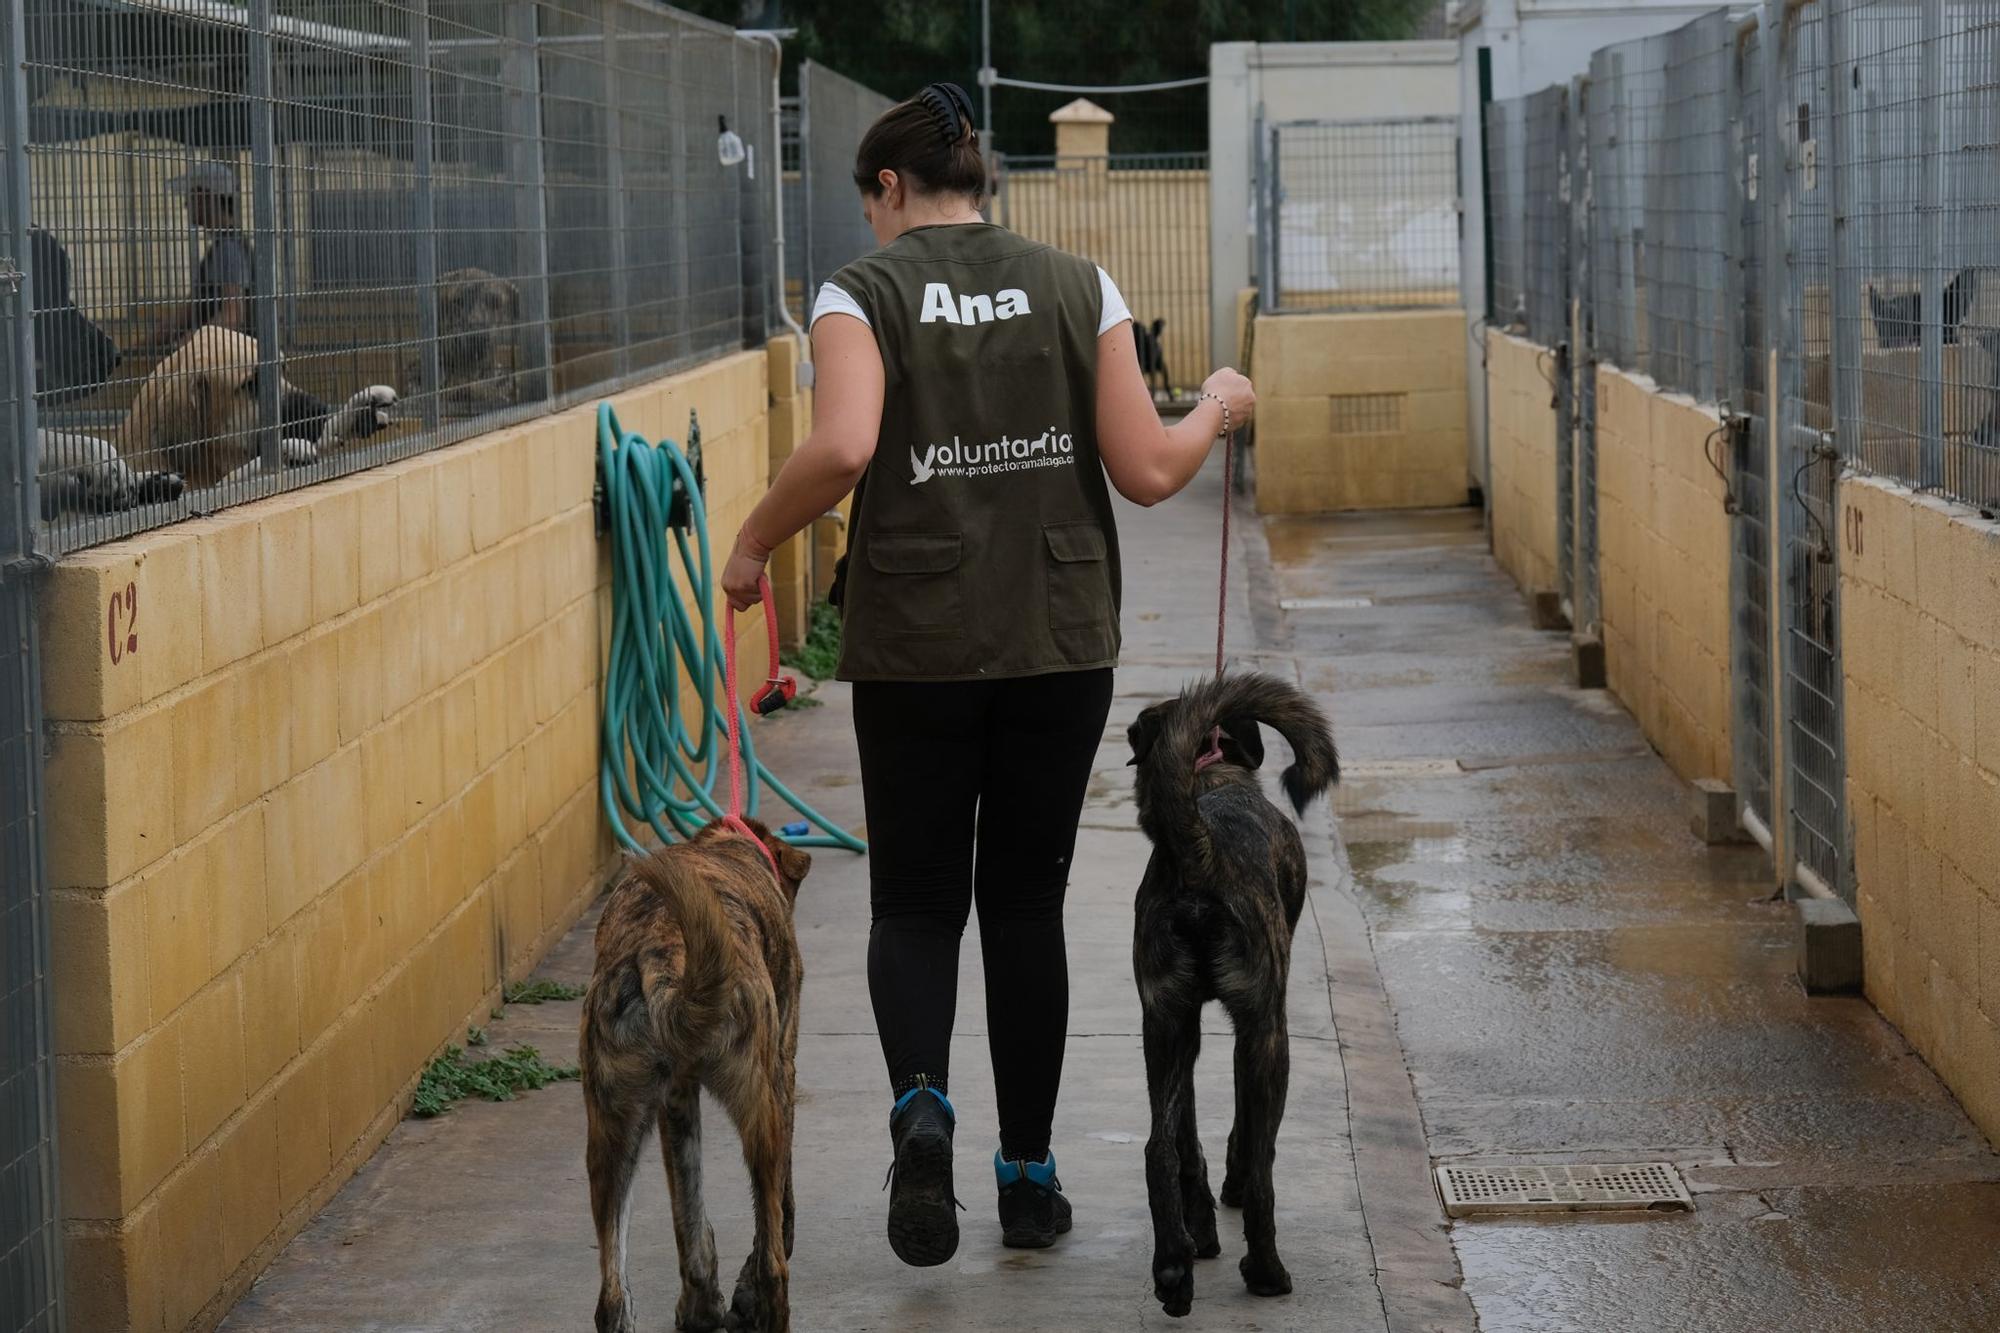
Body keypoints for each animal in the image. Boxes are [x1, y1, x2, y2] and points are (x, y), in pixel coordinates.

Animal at [584, 820, 808, 1328]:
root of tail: (659, 959)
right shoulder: (783, 1072)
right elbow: (780, 1208)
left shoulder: (676, 1100)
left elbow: (690, 1216)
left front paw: (703, 1303)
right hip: (763, 1109)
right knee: (773, 1266)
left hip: (610, 1133)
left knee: (611, 1297)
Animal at [1136, 668, 1336, 1312]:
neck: (1211, 781)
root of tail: (1200, 854)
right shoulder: (1256, 1026)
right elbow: (1248, 1134)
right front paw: (1233, 1187)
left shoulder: (1179, 1024)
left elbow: (1186, 1139)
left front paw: (1198, 1229)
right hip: (1270, 1034)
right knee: (1266, 1164)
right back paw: (1267, 1270)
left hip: (1166, 1030)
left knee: (1159, 1150)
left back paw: (1175, 1265)